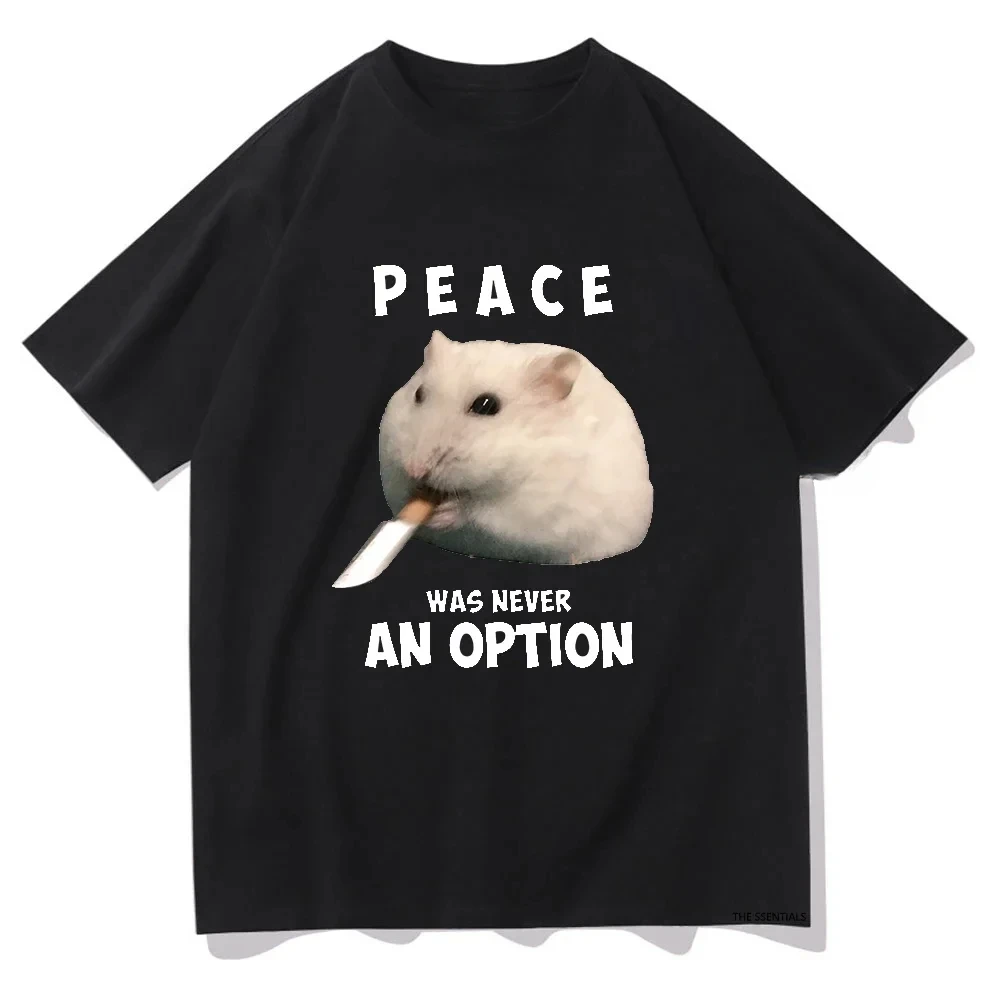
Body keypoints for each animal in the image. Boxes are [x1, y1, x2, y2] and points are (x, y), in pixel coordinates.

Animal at [378, 330, 653, 565]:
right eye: (418, 393)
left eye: (486, 405)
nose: (414, 469)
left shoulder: (534, 505)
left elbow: (482, 513)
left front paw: (443, 513)